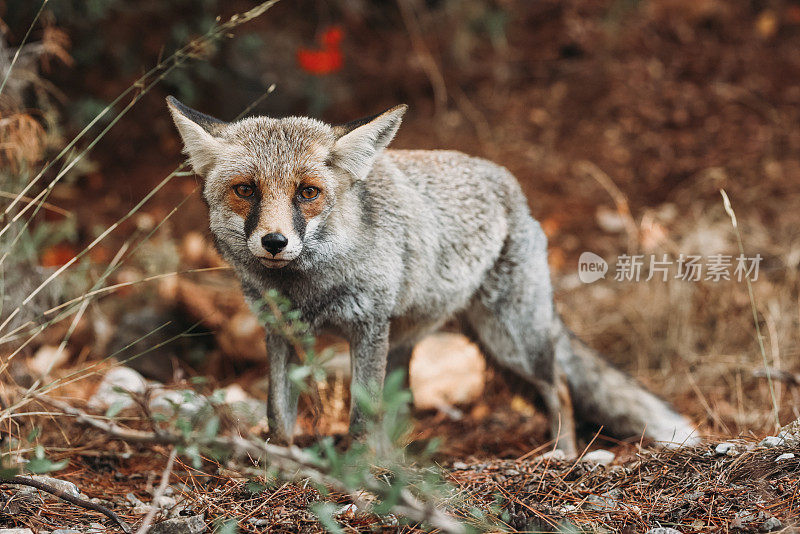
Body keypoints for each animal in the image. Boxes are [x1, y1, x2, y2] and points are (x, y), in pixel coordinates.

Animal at [166, 97, 696, 456]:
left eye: (307, 192)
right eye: (245, 190)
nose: (275, 242)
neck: (309, 289)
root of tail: (509, 183)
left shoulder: (367, 328)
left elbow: (360, 418)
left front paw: (358, 478)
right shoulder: (281, 332)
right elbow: (279, 417)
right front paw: (281, 469)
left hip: (512, 340)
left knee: (560, 387)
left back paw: (562, 455)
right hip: (416, 343)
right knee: (402, 409)